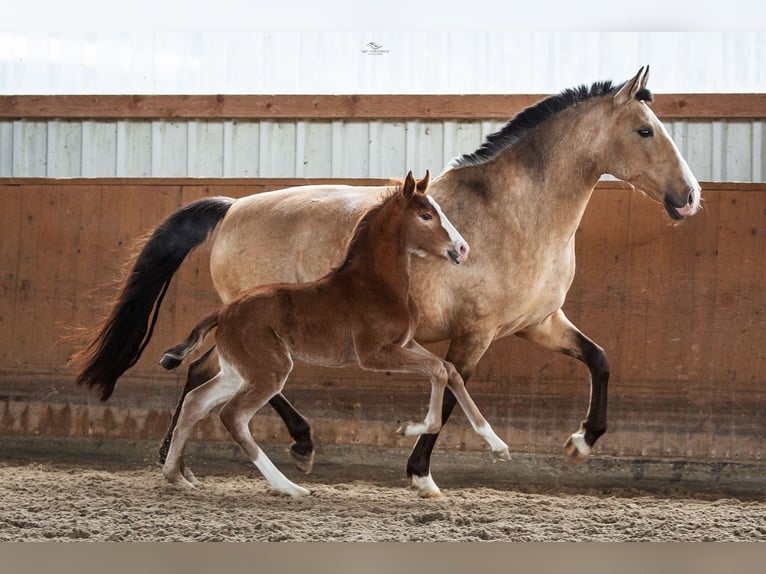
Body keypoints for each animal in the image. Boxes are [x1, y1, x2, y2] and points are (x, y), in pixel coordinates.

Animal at [160, 172, 510, 500]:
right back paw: (288, 485)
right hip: (269, 370)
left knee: (195, 401)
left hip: (238, 372)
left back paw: (175, 475)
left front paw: (498, 444)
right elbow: (438, 371)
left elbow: (449, 371)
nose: (462, 249)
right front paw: (409, 427)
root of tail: (223, 312)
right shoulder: (374, 354)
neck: (376, 283)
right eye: (426, 215)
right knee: (233, 415)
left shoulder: (404, 343)